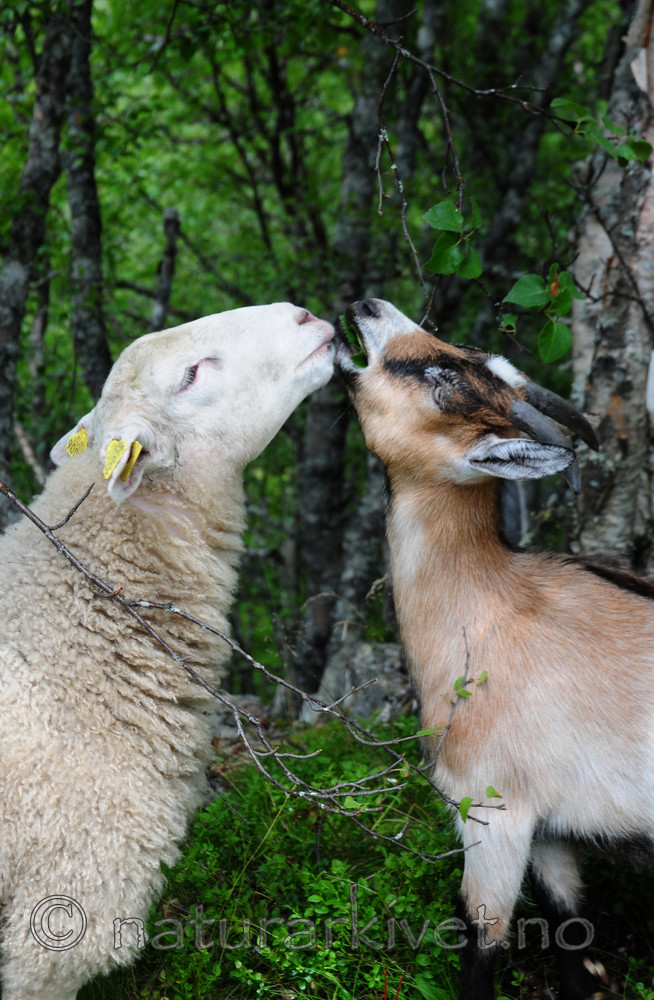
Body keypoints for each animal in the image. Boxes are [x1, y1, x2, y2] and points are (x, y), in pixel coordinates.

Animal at [335, 297, 654, 1000]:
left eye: (441, 380)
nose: (368, 306)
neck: (487, 612)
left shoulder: (495, 814)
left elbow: (482, 945)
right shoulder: (553, 835)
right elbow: (574, 942)